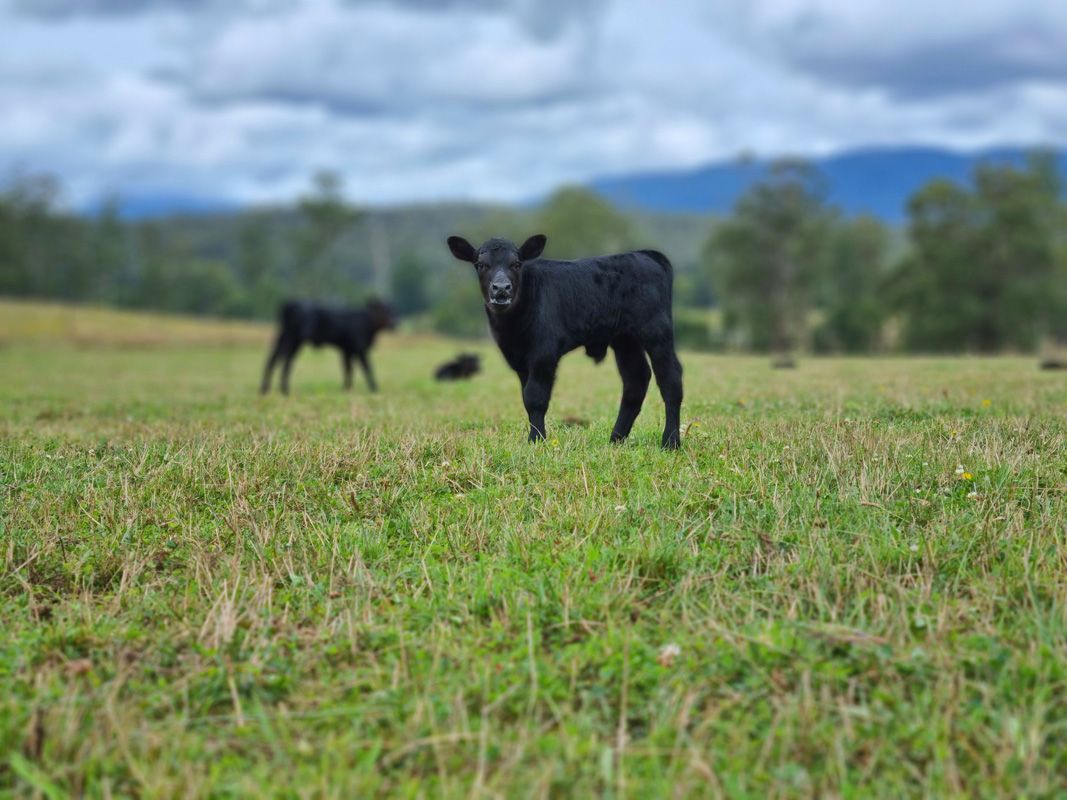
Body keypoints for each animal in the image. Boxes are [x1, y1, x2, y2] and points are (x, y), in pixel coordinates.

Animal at [261, 299, 395, 395]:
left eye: (391, 310)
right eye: (382, 311)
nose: (393, 324)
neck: (367, 324)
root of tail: (290, 304)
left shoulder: (347, 350)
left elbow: (348, 369)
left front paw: (346, 389)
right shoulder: (359, 348)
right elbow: (367, 368)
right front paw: (374, 388)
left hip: (284, 336)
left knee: (275, 357)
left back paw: (266, 389)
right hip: (294, 338)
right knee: (285, 359)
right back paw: (283, 389)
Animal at [445, 234, 683, 448]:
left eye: (516, 264)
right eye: (481, 265)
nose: (501, 288)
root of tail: (645, 254)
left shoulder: (543, 354)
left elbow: (536, 397)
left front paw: (537, 440)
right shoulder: (518, 360)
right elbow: (526, 398)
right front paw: (535, 437)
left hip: (656, 331)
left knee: (670, 378)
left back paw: (671, 441)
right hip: (625, 339)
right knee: (636, 380)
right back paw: (616, 439)